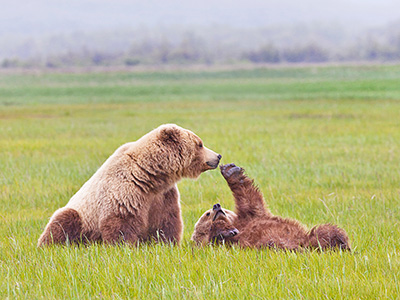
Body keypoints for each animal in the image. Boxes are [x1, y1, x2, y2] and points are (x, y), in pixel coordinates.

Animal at [37, 123, 222, 246]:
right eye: (200, 144)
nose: (218, 156)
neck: (150, 176)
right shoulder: (126, 191)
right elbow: (121, 223)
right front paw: (125, 247)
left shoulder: (163, 195)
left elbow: (166, 221)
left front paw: (166, 244)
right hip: (82, 216)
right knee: (63, 221)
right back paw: (52, 245)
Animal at [191, 164, 350, 251]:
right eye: (206, 214)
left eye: (225, 209)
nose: (216, 206)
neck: (236, 223)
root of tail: (304, 244)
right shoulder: (230, 243)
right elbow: (216, 239)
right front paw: (226, 230)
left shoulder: (251, 216)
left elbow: (250, 199)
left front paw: (231, 171)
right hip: (270, 243)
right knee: (276, 244)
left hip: (310, 237)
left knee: (328, 231)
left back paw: (341, 244)